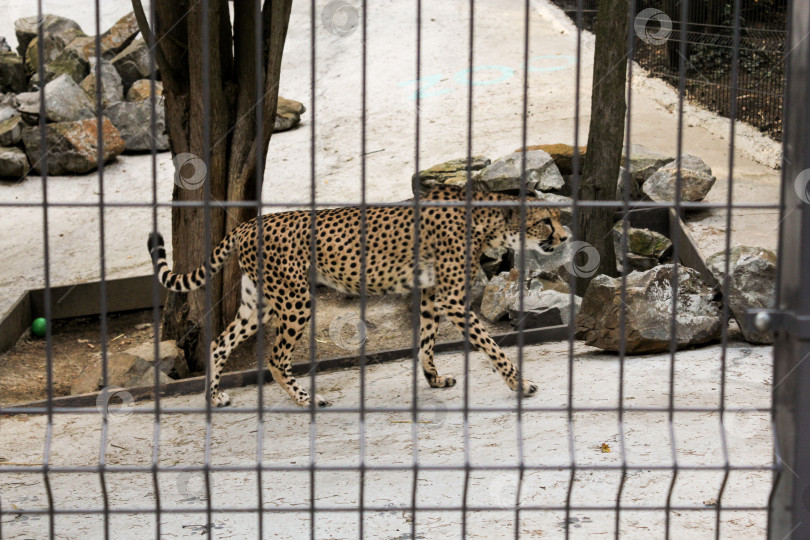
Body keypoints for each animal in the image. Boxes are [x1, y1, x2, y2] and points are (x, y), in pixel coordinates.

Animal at [148, 188, 564, 408]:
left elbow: (426, 341)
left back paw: (214, 397)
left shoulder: (432, 295)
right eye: (546, 221)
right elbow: (491, 346)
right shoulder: (452, 299)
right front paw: (520, 384)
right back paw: (307, 399)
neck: (489, 220)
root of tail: (251, 222)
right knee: (276, 357)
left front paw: (432, 378)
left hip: (259, 304)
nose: (564, 236)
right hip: (296, 299)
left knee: (218, 344)